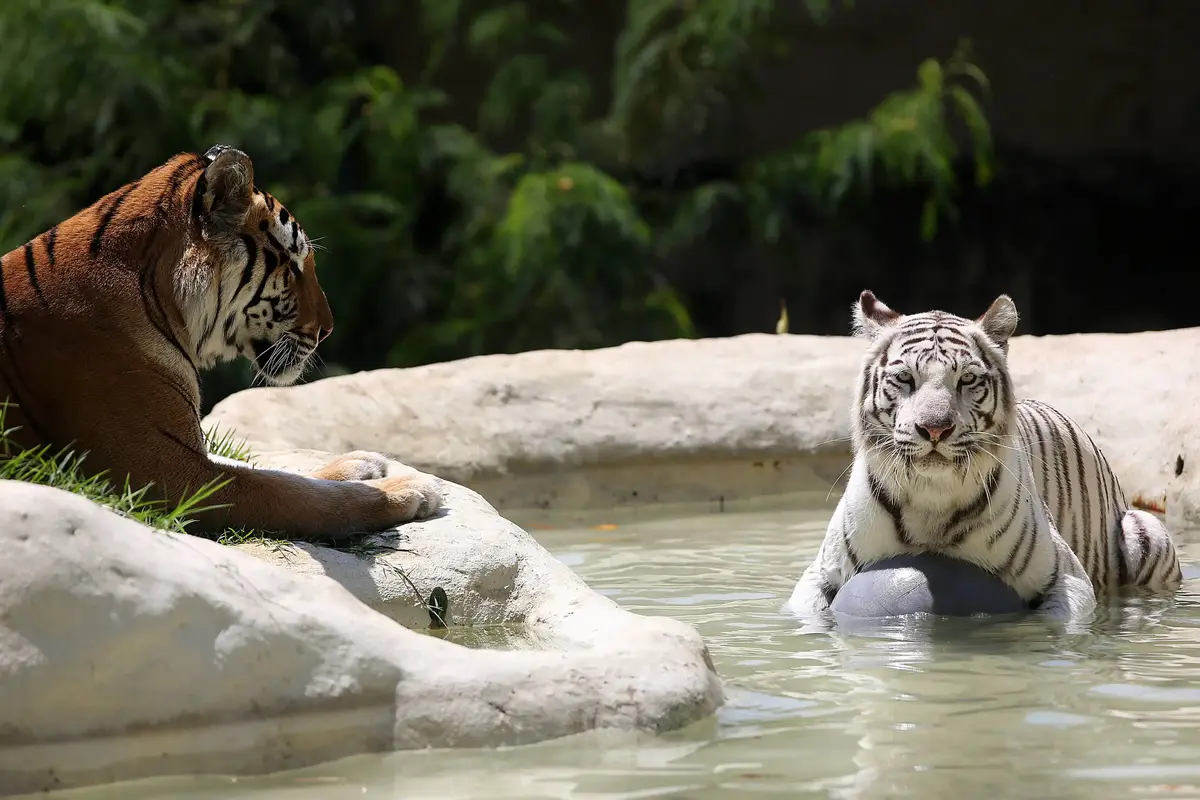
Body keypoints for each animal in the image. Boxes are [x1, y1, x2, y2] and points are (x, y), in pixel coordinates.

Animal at [0, 146, 441, 542]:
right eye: (293, 264)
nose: (328, 330)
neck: (156, 295)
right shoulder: (168, 474)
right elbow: (294, 494)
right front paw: (407, 490)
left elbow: (270, 470)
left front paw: (361, 463)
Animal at [787, 291, 1180, 623]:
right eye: (904, 378)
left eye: (967, 379)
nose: (934, 429)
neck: (931, 498)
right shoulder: (817, 575)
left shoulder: (1067, 577)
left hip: (1146, 532)